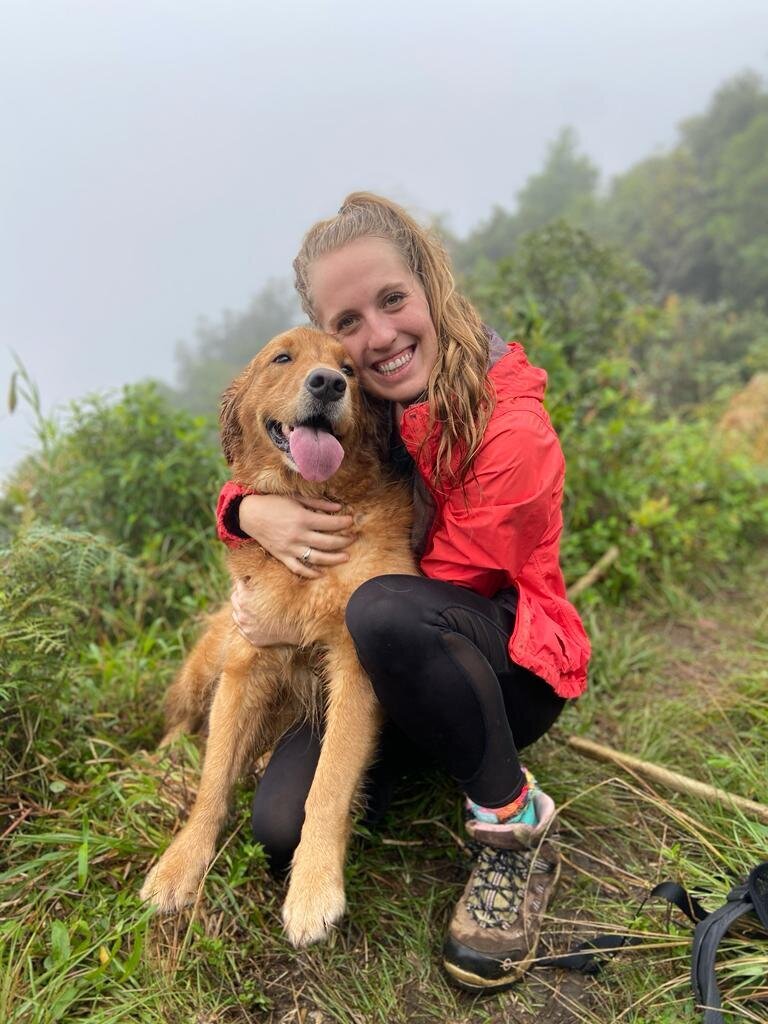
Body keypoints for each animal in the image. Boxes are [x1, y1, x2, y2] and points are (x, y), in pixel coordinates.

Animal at [138, 325, 415, 942]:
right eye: (283, 357)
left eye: (350, 369)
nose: (328, 383)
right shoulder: (244, 668)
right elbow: (213, 779)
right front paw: (180, 863)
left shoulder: (354, 669)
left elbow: (328, 785)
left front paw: (313, 889)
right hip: (205, 664)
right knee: (180, 723)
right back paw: (161, 762)